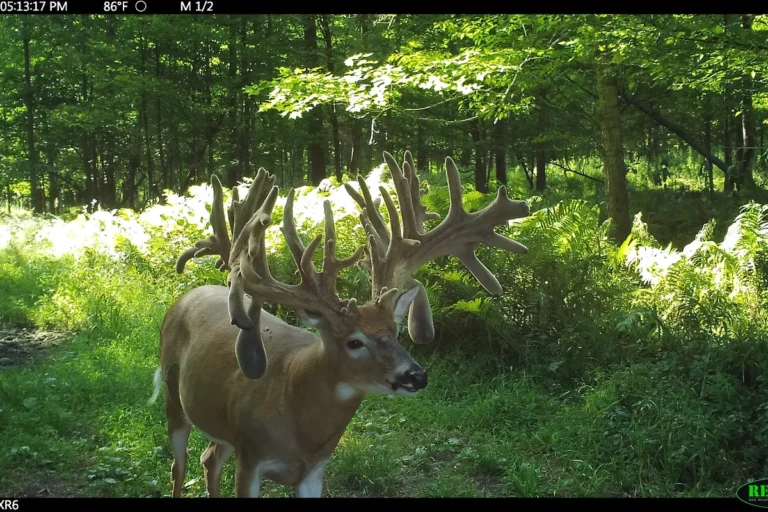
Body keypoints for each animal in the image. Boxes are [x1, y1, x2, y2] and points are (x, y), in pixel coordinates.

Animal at [150, 150, 530, 498]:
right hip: (173, 397)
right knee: (178, 465)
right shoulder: (251, 457)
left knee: (209, 457)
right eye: (354, 341)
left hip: (218, 425)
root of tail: (185, 296)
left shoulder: (315, 469)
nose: (415, 376)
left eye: (396, 333)